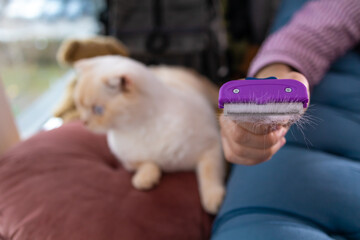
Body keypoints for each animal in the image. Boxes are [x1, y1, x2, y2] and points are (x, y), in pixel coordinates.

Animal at [73, 55, 225, 214]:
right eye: (78, 105)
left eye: (98, 110)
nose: (84, 122)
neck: (139, 128)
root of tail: (161, 67)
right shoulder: (128, 161)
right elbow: (149, 164)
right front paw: (145, 180)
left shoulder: (212, 146)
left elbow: (210, 175)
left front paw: (213, 199)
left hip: (211, 94)